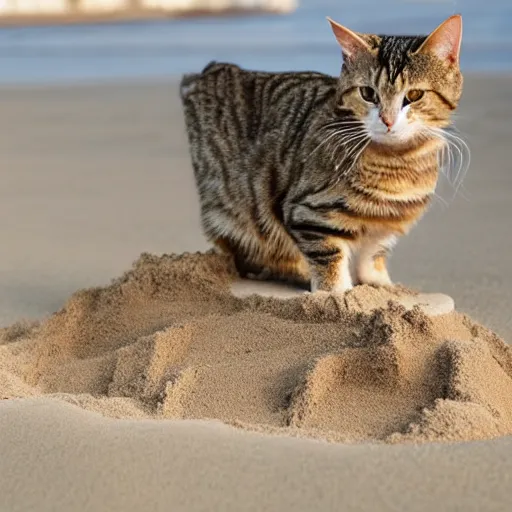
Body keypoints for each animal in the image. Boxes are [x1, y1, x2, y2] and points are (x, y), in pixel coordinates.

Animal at [180, 14, 464, 292]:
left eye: (414, 94)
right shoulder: (308, 212)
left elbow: (374, 252)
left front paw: (379, 285)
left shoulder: (388, 221)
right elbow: (328, 255)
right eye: (368, 93)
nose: (387, 120)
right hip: (231, 206)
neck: (396, 163)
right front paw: (337, 292)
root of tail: (211, 70)